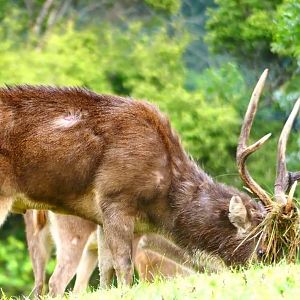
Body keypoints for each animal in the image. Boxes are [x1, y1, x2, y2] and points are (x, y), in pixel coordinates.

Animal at [0, 68, 298, 290]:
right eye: (263, 250)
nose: (272, 276)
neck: (163, 206)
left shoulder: (105, 218)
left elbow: (106, 272)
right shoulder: (115, 198)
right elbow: (123, 268)